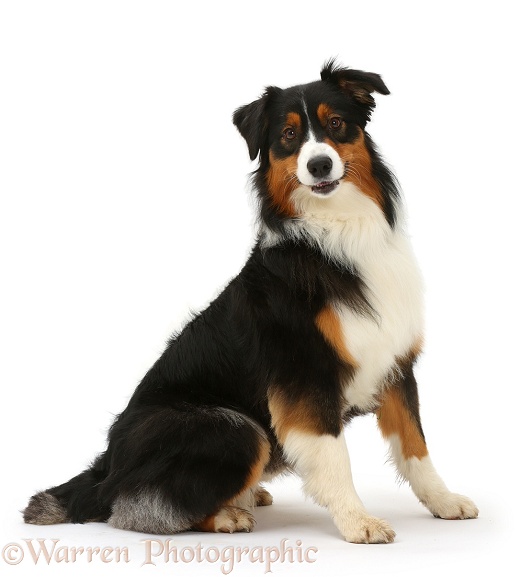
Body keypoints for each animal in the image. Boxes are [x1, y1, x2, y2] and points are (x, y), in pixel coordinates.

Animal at [22, 60, 478, 544]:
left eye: (336, 124)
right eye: (289, 135)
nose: (319, 164)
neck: (337, 231)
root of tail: (107, 465)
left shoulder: (395, 362)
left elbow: (415, 446)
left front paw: (444, 502)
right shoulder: (305, 372)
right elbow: (336, 458)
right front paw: (358, 520)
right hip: (234, 427)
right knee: (134, 508)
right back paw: (226, 515)